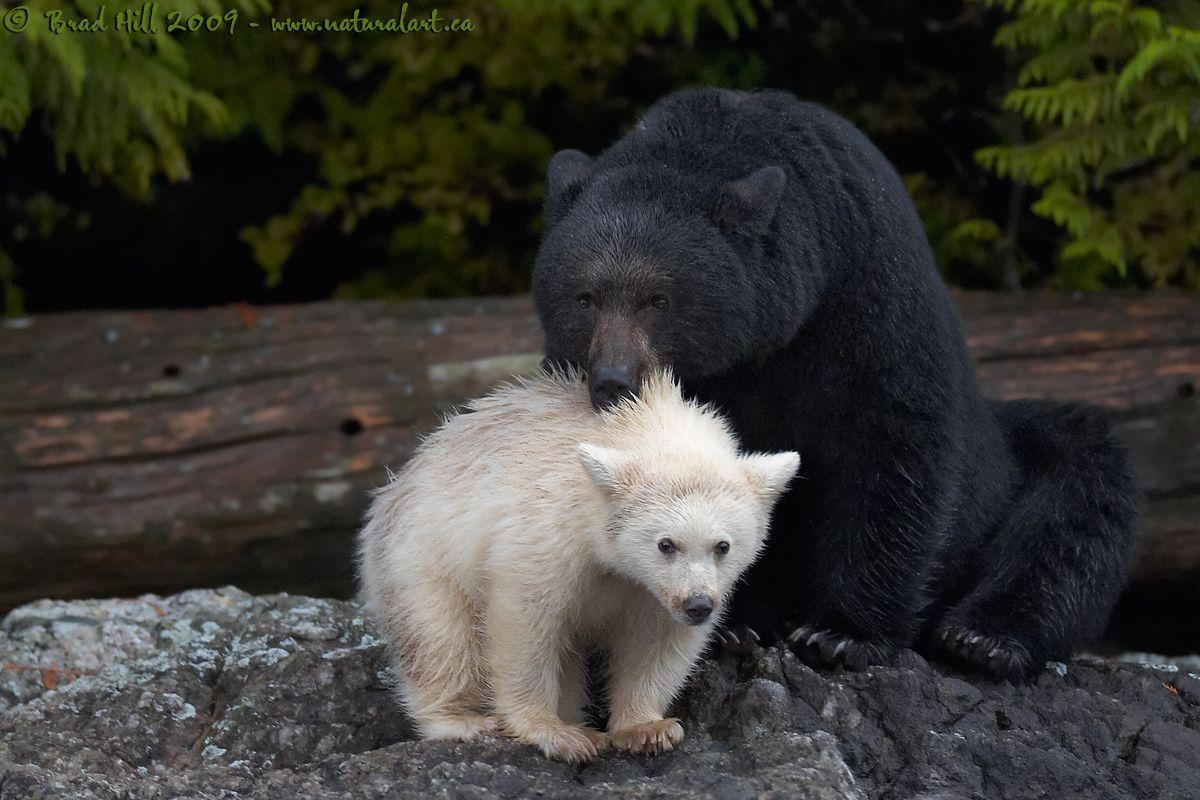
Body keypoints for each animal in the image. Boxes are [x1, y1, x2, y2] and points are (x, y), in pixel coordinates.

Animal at [357, 368, 799, 762]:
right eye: (666, 544)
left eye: (722, 546)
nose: (697, 606)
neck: (635, 425)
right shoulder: (551, 531)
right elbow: (523, 622)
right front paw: (553, 732)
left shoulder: (653, 592)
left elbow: (657, 638)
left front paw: (647, 728)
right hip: (418, 555)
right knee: (440, 639)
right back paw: (463, 721)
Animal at [532, 87, 1140, 681]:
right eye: (584, 298)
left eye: (658, 299)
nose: (614, 382)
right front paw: (727, 626)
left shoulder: (869, 300)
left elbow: (892, 446)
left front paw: (843, 634)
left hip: (1017, 471)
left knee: (1078, 505)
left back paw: (983, 636)